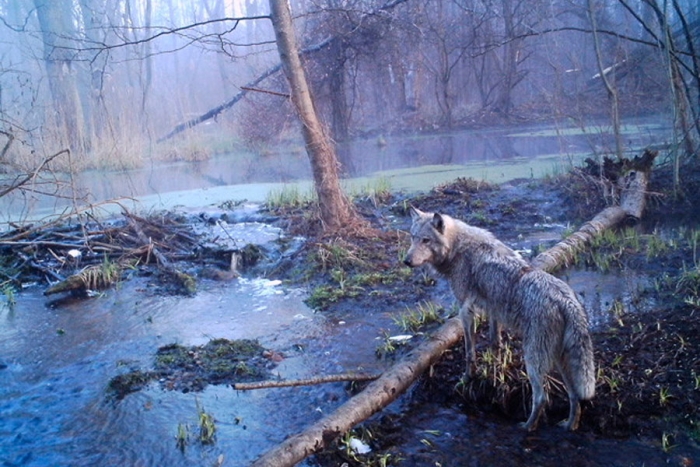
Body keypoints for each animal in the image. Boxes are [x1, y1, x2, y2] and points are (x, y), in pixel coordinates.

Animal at [404, 207, 596, 432]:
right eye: (413, 237)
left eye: (426, 240)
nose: (406, 261)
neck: (458, 248)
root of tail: (567, 301)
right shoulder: (493, 310)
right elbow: (494, 342)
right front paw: (494, 370)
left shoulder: (466, 311)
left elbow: (469, 352)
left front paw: (467, 378)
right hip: (560, 361)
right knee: (574, 396)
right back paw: (569, 426)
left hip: (533, 360)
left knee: (542, 398)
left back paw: (526, 427)